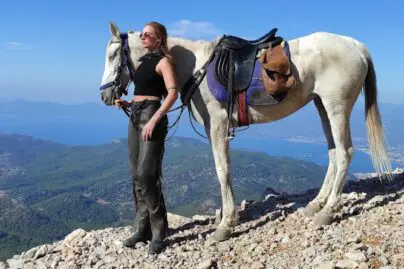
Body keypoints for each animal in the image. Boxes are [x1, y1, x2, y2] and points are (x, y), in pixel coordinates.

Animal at [100, 22, 392, 241]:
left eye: (113, 56)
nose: (105, 95)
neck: (195, 66)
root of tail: (356, 46)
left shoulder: (217, 125)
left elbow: (223, 170)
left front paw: (226, 225)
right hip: (322, 106)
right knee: (333, 153)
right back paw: (316, 204)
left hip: (337, 108)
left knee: (344, 153)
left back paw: (328, 211)